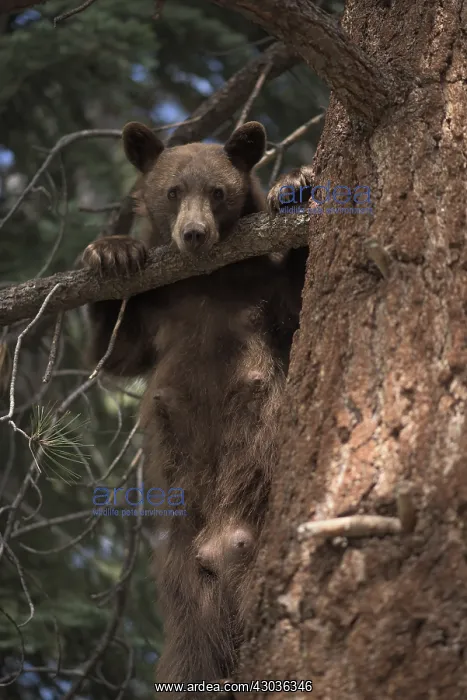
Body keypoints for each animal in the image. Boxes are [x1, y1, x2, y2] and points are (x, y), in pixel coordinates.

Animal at [80, 120, 310, 692]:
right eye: (172, 191)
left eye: (218, 191)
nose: (194, 234)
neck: (209, 280)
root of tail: (221, 551)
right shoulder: (161, 309)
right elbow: (114, 353)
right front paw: (111, 252)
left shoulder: (262, 292)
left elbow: (300, 304)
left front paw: (295, 184)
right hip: (183, 583)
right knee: (191, 658)